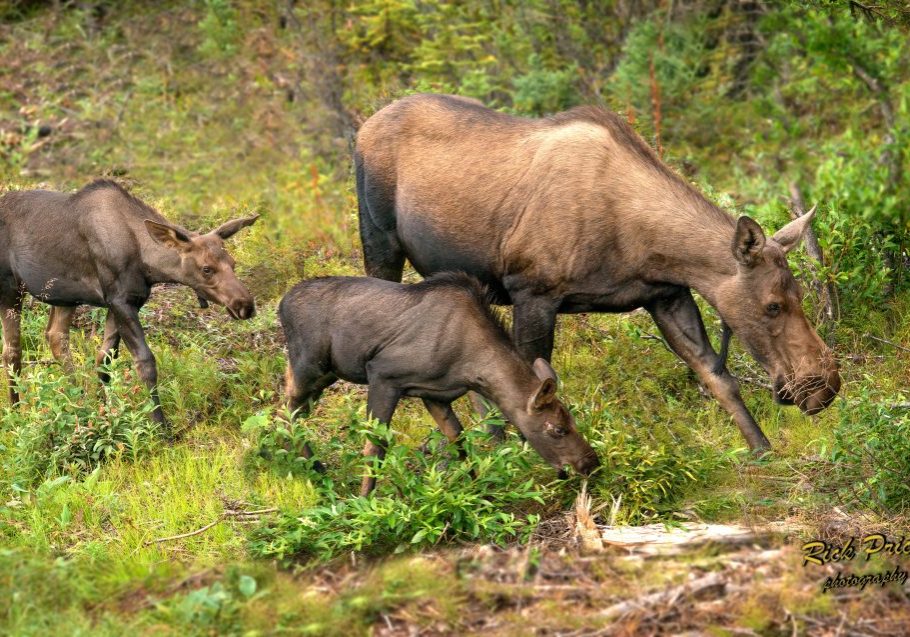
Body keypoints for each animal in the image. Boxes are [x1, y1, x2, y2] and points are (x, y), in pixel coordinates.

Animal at [0, 180, 258, 438]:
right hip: (10, 289)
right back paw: (16, 413)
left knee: (56, 337)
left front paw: (104, 411)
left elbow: (103, 360)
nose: (245, 305)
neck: (148, 265)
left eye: (233, 263)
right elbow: (144, 361)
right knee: (12, 351)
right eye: (206, 269)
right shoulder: (120, 300)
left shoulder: (125, 302)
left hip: (63, 297)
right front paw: (160, 427)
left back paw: (77, 400)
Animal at [282, 270, 604, 494]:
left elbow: (458, 440)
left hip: (326, 373)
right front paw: (365, 502)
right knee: (285, 410)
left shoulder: (435, 394)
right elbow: (375, 447)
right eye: (558, 429)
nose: (591, 464)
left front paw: (480, 490)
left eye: (572, 420)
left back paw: (313, 467)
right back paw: (315, 468)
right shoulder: (383, 375)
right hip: (310, 365)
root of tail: (281, 305)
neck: (471, 368)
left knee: (292, 405)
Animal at [358, 94, 848, 452]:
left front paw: (761, 450)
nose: (825, 386)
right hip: (379, 243)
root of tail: (362, 127)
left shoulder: (666, 294)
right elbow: (531, 390)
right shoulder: (533, 293)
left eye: (801, 295)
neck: (642, 241)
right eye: (773, 305)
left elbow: (716, 375)